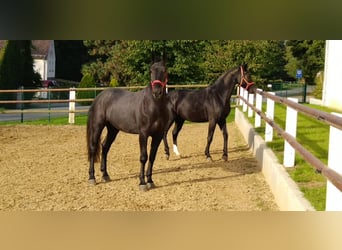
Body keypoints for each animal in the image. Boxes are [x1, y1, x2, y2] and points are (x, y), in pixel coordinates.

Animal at [87, 61, 170, 191]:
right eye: (151, 71)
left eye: (165, 70)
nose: (157, 92)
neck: (153, 106)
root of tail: (99, 97)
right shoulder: (143, 134)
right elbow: (143, 157)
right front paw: (142, 183)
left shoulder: (158, 135)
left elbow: (152, 157)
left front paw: (150, 181)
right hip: (97, 126)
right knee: (93, 148)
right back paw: (92, 177)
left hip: (113, 129)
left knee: (105, 147)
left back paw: (105, 175)